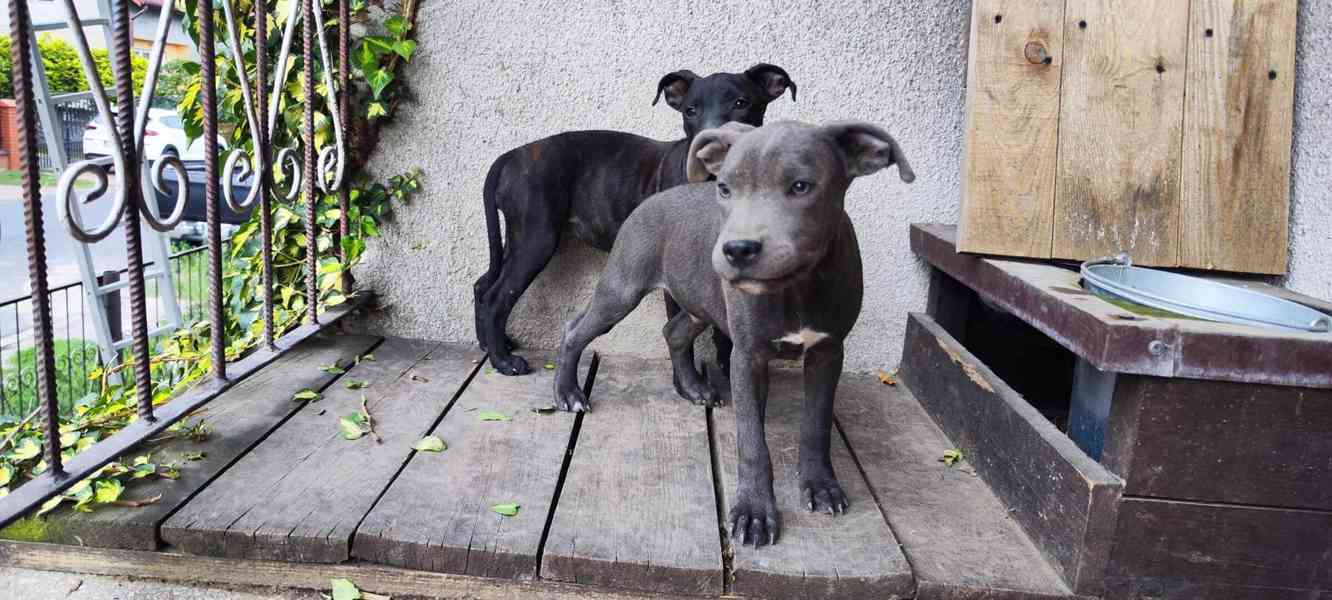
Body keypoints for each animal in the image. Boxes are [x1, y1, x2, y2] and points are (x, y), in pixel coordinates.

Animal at [476, 63, 793, 378]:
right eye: (690, 111)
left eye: (741, 104)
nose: (706, 149)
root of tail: (511, 156)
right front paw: (687, 382)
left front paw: (726, 371)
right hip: (536, 238)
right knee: (496, 297)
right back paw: (503, 360)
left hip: (519, 238)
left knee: (483, 285)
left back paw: (491, 345)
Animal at [551, 120, 916, 544]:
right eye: (724, 188)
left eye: (801, 186)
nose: (737, 249)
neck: (796, 287)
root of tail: (653, 199)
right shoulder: (747, 357)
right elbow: (752, 440)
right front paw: (755, 511)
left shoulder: (827, 352)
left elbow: (816, 425)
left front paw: (821, 486)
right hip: (622, 288)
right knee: (575, 329)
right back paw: (568, 393)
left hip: (699, 300)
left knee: (674, 331)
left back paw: (694, 387)